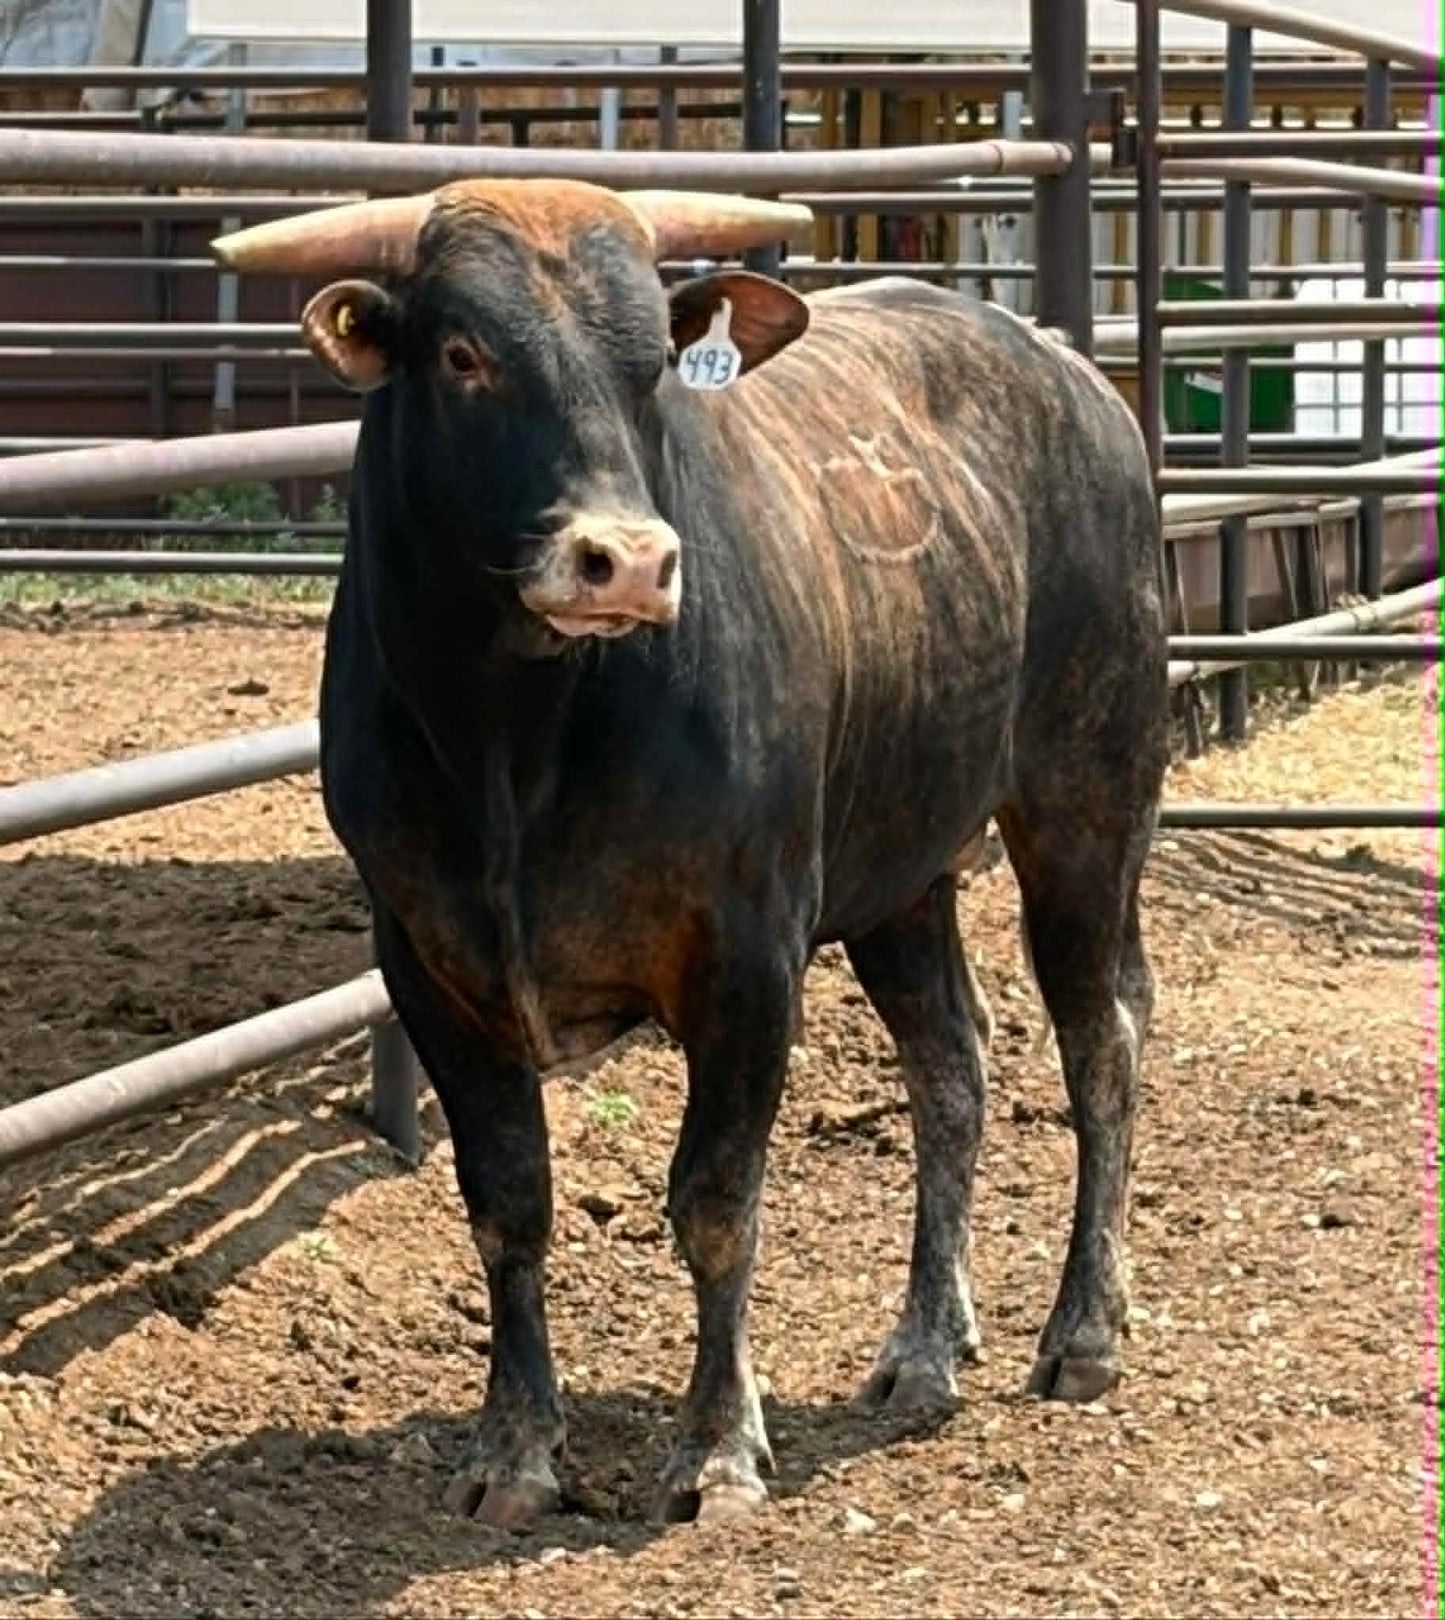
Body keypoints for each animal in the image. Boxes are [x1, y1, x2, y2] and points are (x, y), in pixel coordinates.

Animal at [211, 178, 1170, 1531]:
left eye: (654, 363)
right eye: (462, 355)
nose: (627, 560)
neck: (519, 743)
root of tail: (1062, 368)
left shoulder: (747, 959)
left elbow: (715, 1202)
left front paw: (716, 1448)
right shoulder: (426, 964)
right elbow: (508, 1205)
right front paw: (514, 1450)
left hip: (1085, 803)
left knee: (1100, 1038)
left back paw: (1082, 1331)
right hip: (900, 871)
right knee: (950, 1065)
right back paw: (924, 1346)